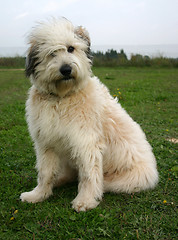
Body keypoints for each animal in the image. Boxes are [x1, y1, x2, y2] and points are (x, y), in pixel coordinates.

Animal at [20, 17, 158, 211]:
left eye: (71, 48)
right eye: (52, 53)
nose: (66, 69)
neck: (62, 98)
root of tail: (153, 172)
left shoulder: (86, 141)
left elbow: (88, 174)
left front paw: (84, 200)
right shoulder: (46, 142)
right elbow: (45, 172)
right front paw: (38, 195)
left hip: (124, 180)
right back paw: (59, 181)